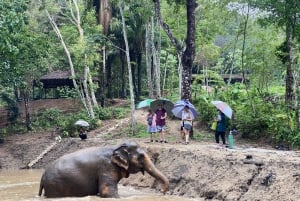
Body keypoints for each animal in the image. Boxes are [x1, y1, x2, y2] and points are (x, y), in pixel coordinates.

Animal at [38, 140, 169, 198]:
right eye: (141, 156)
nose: (162, 192)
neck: (115, 147)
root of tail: (42, 177)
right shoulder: (106, 167)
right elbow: (107, 192)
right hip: (55, 186)